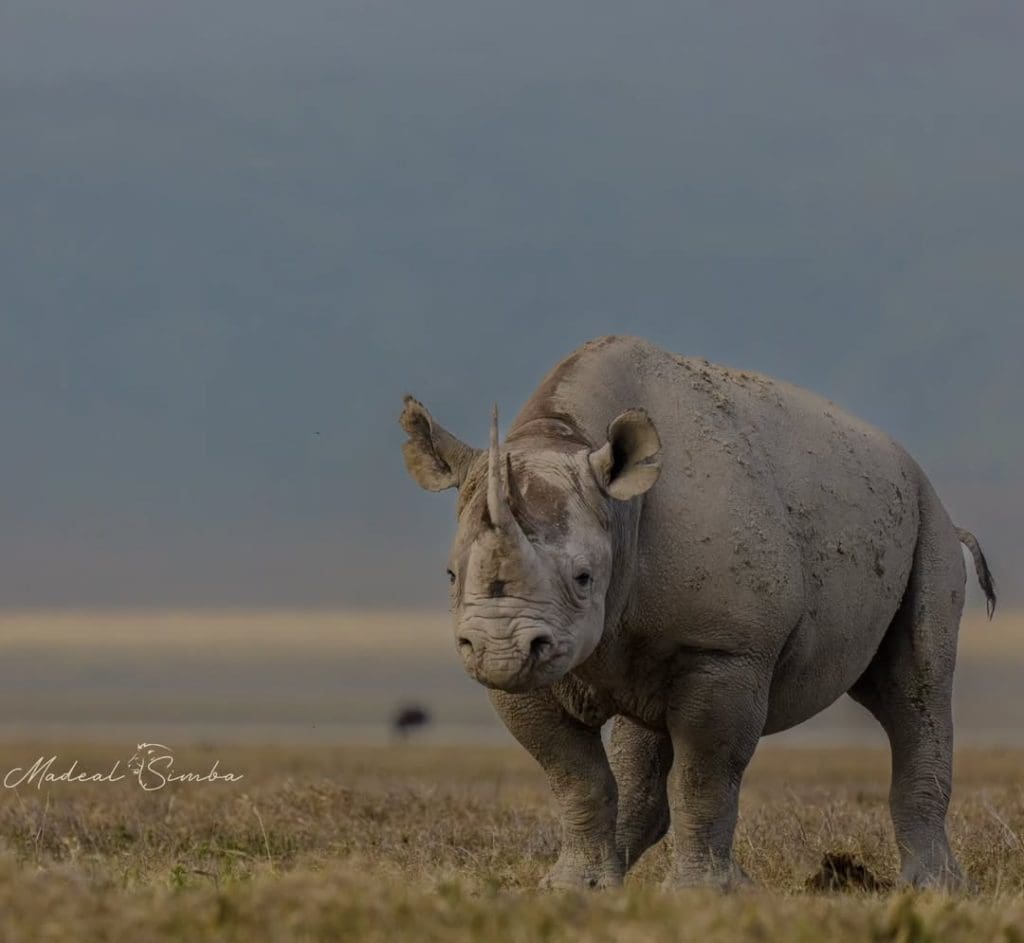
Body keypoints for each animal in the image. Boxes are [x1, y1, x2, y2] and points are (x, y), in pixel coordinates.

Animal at [399, 335, 995, 889]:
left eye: (584, 578)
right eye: (450, 576)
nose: (500, 650)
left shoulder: (726, 648)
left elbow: (704, 774)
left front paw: (703, 892)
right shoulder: (528, 672)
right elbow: (576, 775)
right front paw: (576, 887)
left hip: (927, 522)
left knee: (914, 692)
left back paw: (934, 888)